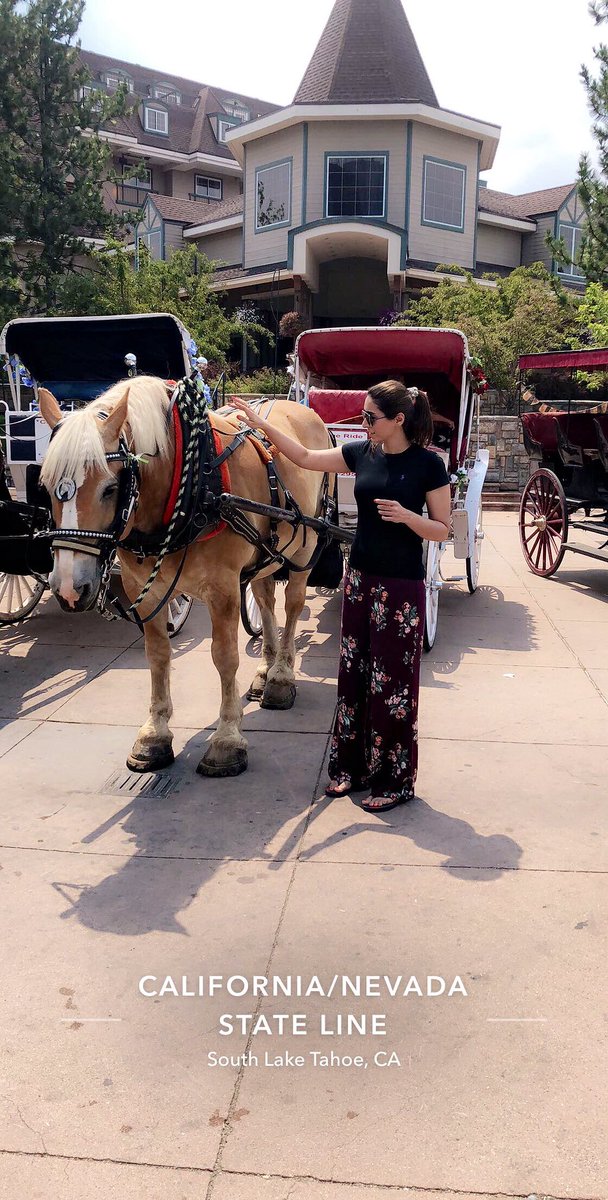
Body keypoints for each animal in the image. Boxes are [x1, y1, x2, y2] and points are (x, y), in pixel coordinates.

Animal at [40, 379, 335, 782]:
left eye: (110, 488)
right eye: (45, 485)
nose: (70, 587)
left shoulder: (223, 588)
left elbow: (224, 657)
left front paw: (227, 739)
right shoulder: (142, 589)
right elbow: (158, 655)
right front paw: (155, 734)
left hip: (305, 548)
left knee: (292, 605)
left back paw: (280, 676)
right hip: (267, 555)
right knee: (264, 600)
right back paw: (265, 669)